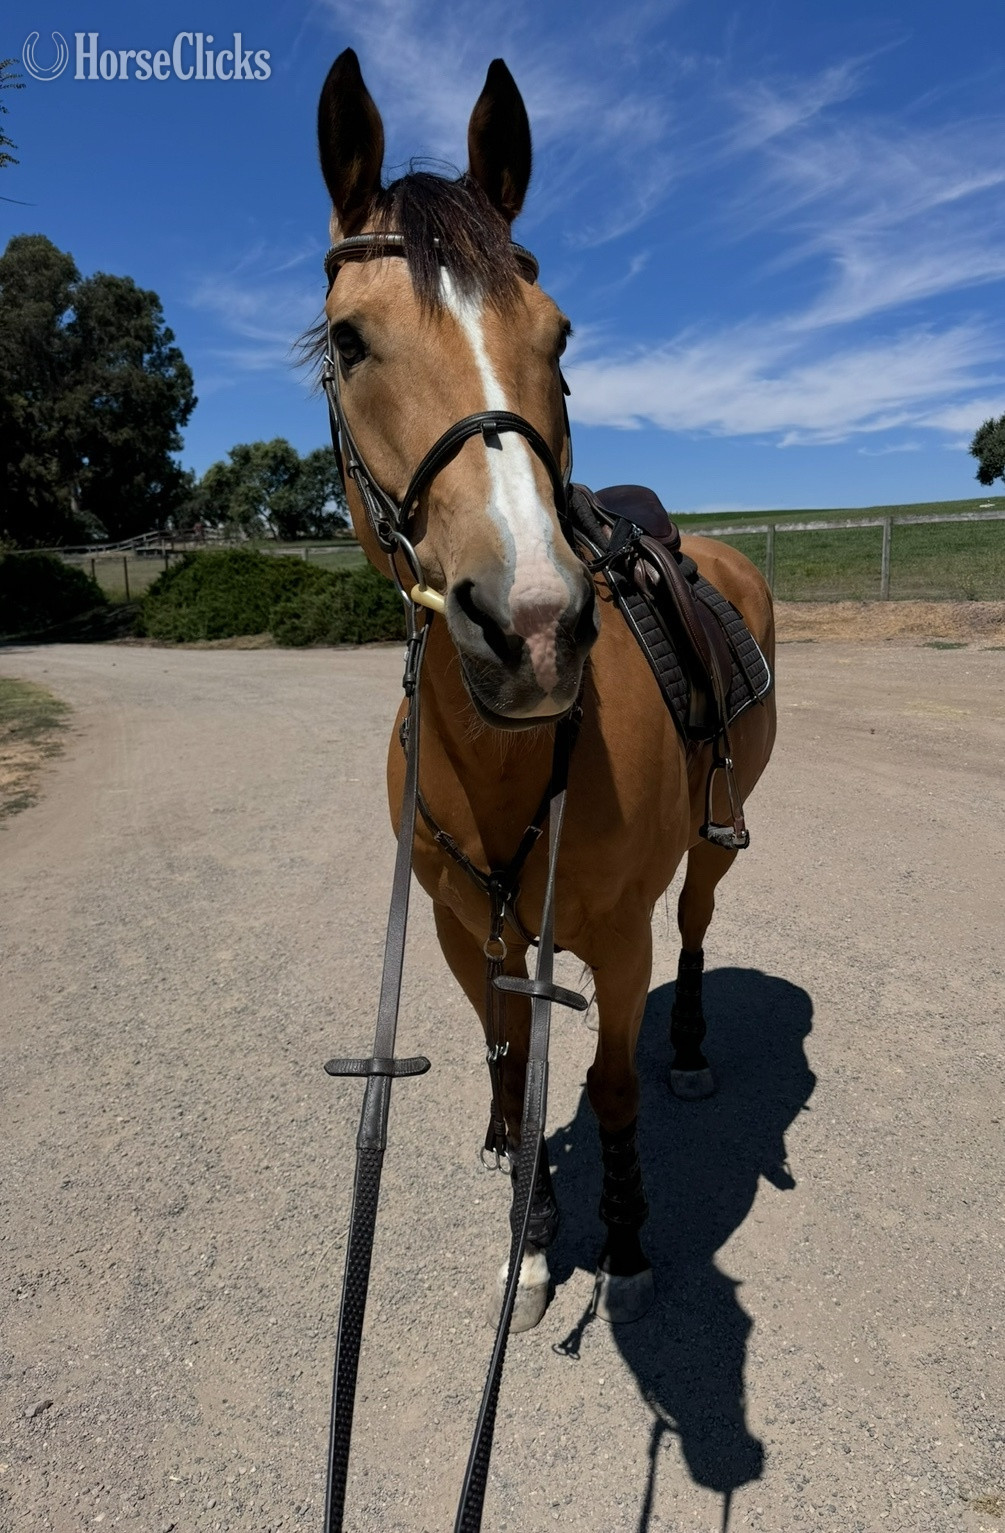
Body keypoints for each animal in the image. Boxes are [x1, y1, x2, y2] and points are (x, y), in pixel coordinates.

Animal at [313, 49, 776, 1333]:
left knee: (698, 931)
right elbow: (515, 1066)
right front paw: (527, 1241)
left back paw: (697, 1045)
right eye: (349, 342)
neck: (511, 762)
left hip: (710, 849)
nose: (530, 627)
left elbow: (609, 1087)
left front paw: (621, 1240)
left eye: (560, 334)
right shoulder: (464, 934)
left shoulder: (614, 939)